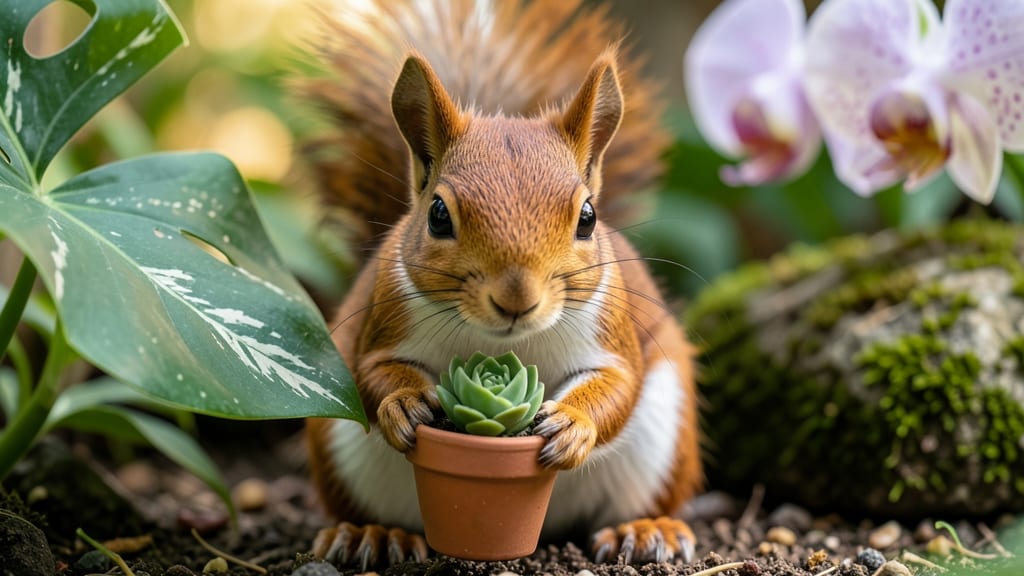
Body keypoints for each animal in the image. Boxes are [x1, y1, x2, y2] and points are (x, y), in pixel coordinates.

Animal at [301, 0, 702, 569]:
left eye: (588, 217)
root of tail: (548, 528)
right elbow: (372, 370)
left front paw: (573, 423)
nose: (516, 299)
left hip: (664, 439)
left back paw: (645, 531)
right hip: (337, 451)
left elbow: (619, 385)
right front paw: (403, 401)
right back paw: (371, 536)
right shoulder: (383, 321)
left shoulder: (611, 335)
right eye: (438, 215)